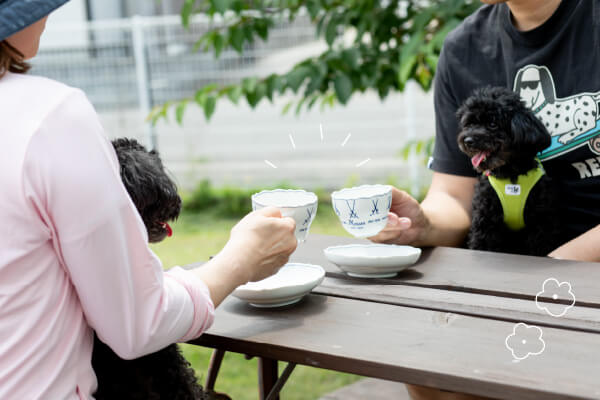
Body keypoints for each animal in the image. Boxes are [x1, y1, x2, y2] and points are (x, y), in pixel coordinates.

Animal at [458, 87, 560, 256]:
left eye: (493, 124)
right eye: (470, 123)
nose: (468, 141)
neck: (510, 174)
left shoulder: (540, 223)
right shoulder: (485, 219)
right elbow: (482, 244)